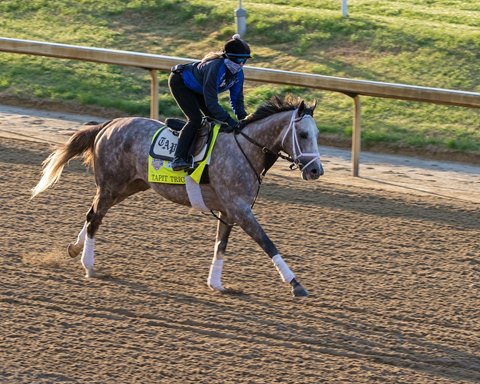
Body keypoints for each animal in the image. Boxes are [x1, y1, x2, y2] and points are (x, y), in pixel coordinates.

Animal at [31, 95, 324, 296]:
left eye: (317, 134)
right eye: (303, 134)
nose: (316, 170)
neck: (246, 150)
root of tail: (109, 124)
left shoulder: (229, 211)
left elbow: (221, 245)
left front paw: (216, 283)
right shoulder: (240, 209)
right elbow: (267, 242)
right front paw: (296, 284)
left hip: (130, 186)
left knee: (93, 214)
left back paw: (75, 248)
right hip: (111, 185)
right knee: (95, 217)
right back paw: (89, 265)